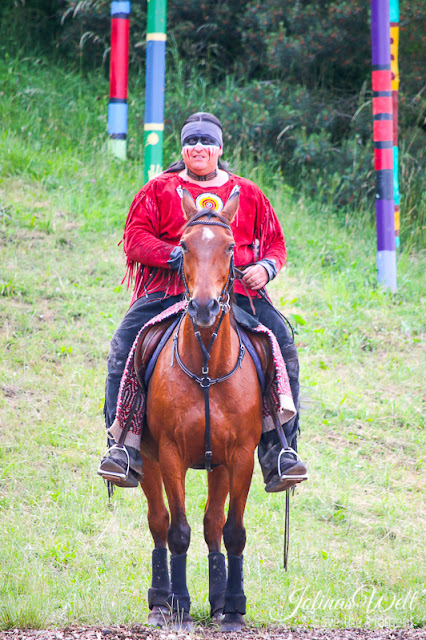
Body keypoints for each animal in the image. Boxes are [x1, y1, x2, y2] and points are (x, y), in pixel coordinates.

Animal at [140, 189, 264, 632]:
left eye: (229, 247)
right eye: (183, 245)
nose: (206, 307)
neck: (208, 367)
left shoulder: (240, 457)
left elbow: (232, 531)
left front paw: (234, 608)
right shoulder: (170, 454)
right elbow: (178, 530)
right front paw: (179, 607)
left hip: (220, 467)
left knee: (213, 525)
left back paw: (217, 601)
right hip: (147, 458)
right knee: (159, 522)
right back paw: (160, 603)